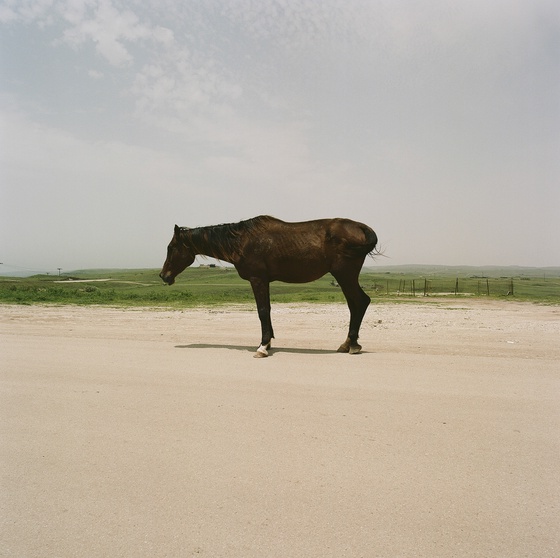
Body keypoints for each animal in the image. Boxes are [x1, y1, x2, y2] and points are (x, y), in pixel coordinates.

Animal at [159, 214, 376, 358]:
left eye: (171, 247)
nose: (163, 275)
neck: (242, 241)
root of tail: (360, 227)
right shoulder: (264, 281)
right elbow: (268, 310)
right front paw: (269, 342)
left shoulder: (257, 279)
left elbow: (262, 311)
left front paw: (262, 347)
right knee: (355, 305)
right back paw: (348, 343)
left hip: (345, 275)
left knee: (360, 302)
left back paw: (353, 345)